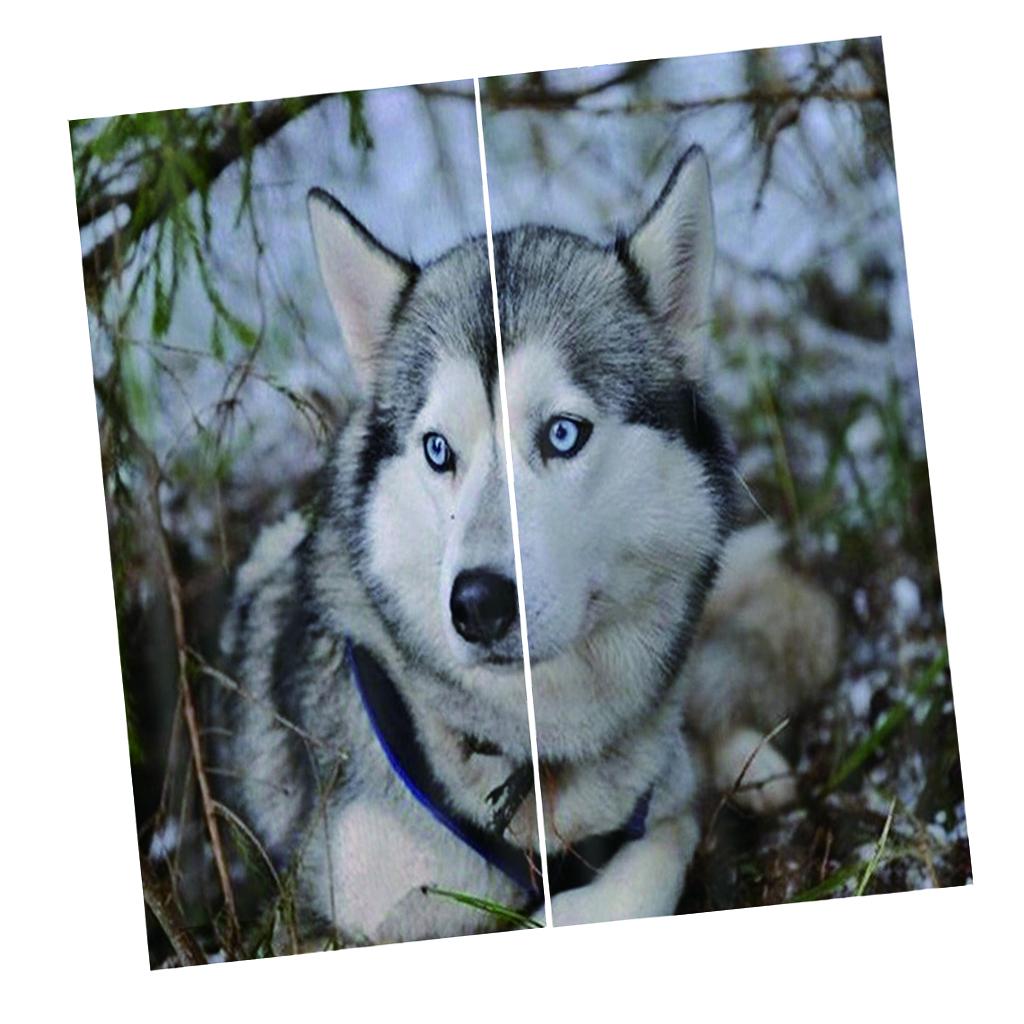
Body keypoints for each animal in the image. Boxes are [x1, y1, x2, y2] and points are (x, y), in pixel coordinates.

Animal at [214, 145, 839, 946]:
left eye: (563, 434)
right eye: (439, 449)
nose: (478, 604)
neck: (525, 753)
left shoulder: (654, 821)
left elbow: (660, 849)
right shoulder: (327, 915)